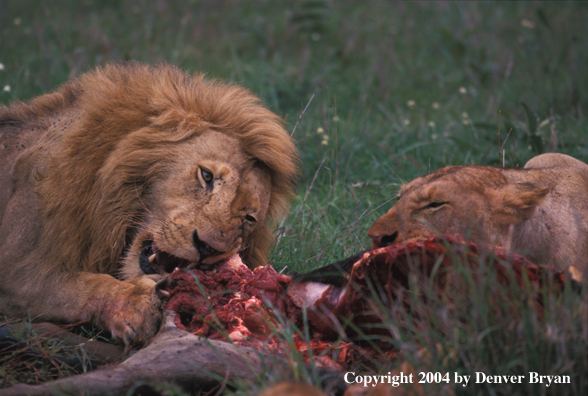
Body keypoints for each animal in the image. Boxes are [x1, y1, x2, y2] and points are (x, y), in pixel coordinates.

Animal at [1, 62, 298, 344]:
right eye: (206, 176)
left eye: (249, 218)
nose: (207, 248)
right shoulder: (15, 269)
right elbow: (74, 288)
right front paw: (134, 302)